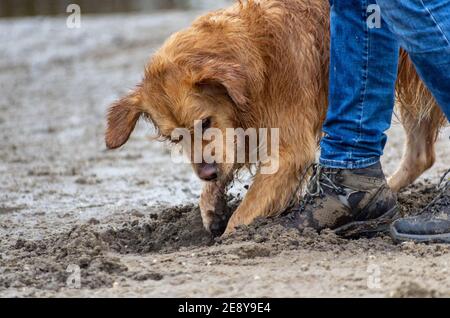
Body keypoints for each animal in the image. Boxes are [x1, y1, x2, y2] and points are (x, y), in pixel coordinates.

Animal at [104, 0, 446, 236]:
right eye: (175, 138)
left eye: (205, 122)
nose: (206, 173)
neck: (257, 52)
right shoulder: (244, 127)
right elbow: (230, 158)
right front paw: (211, 204)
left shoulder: (289, 148)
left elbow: (249, 206)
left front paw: (233, 236)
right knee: (421, 155)